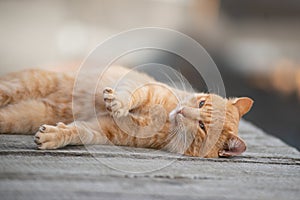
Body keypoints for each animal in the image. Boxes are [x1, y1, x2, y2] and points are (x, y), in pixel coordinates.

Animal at [0, 65, 253, 158]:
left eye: (202, 127)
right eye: (201, 103)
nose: (181, 112)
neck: (166, 120)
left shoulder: (104, 130)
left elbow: (77, 131)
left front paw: (54, 136)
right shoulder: (146, 88)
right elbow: (131, 95)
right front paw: (117, 102)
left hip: (27, 115)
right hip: (25, 85)